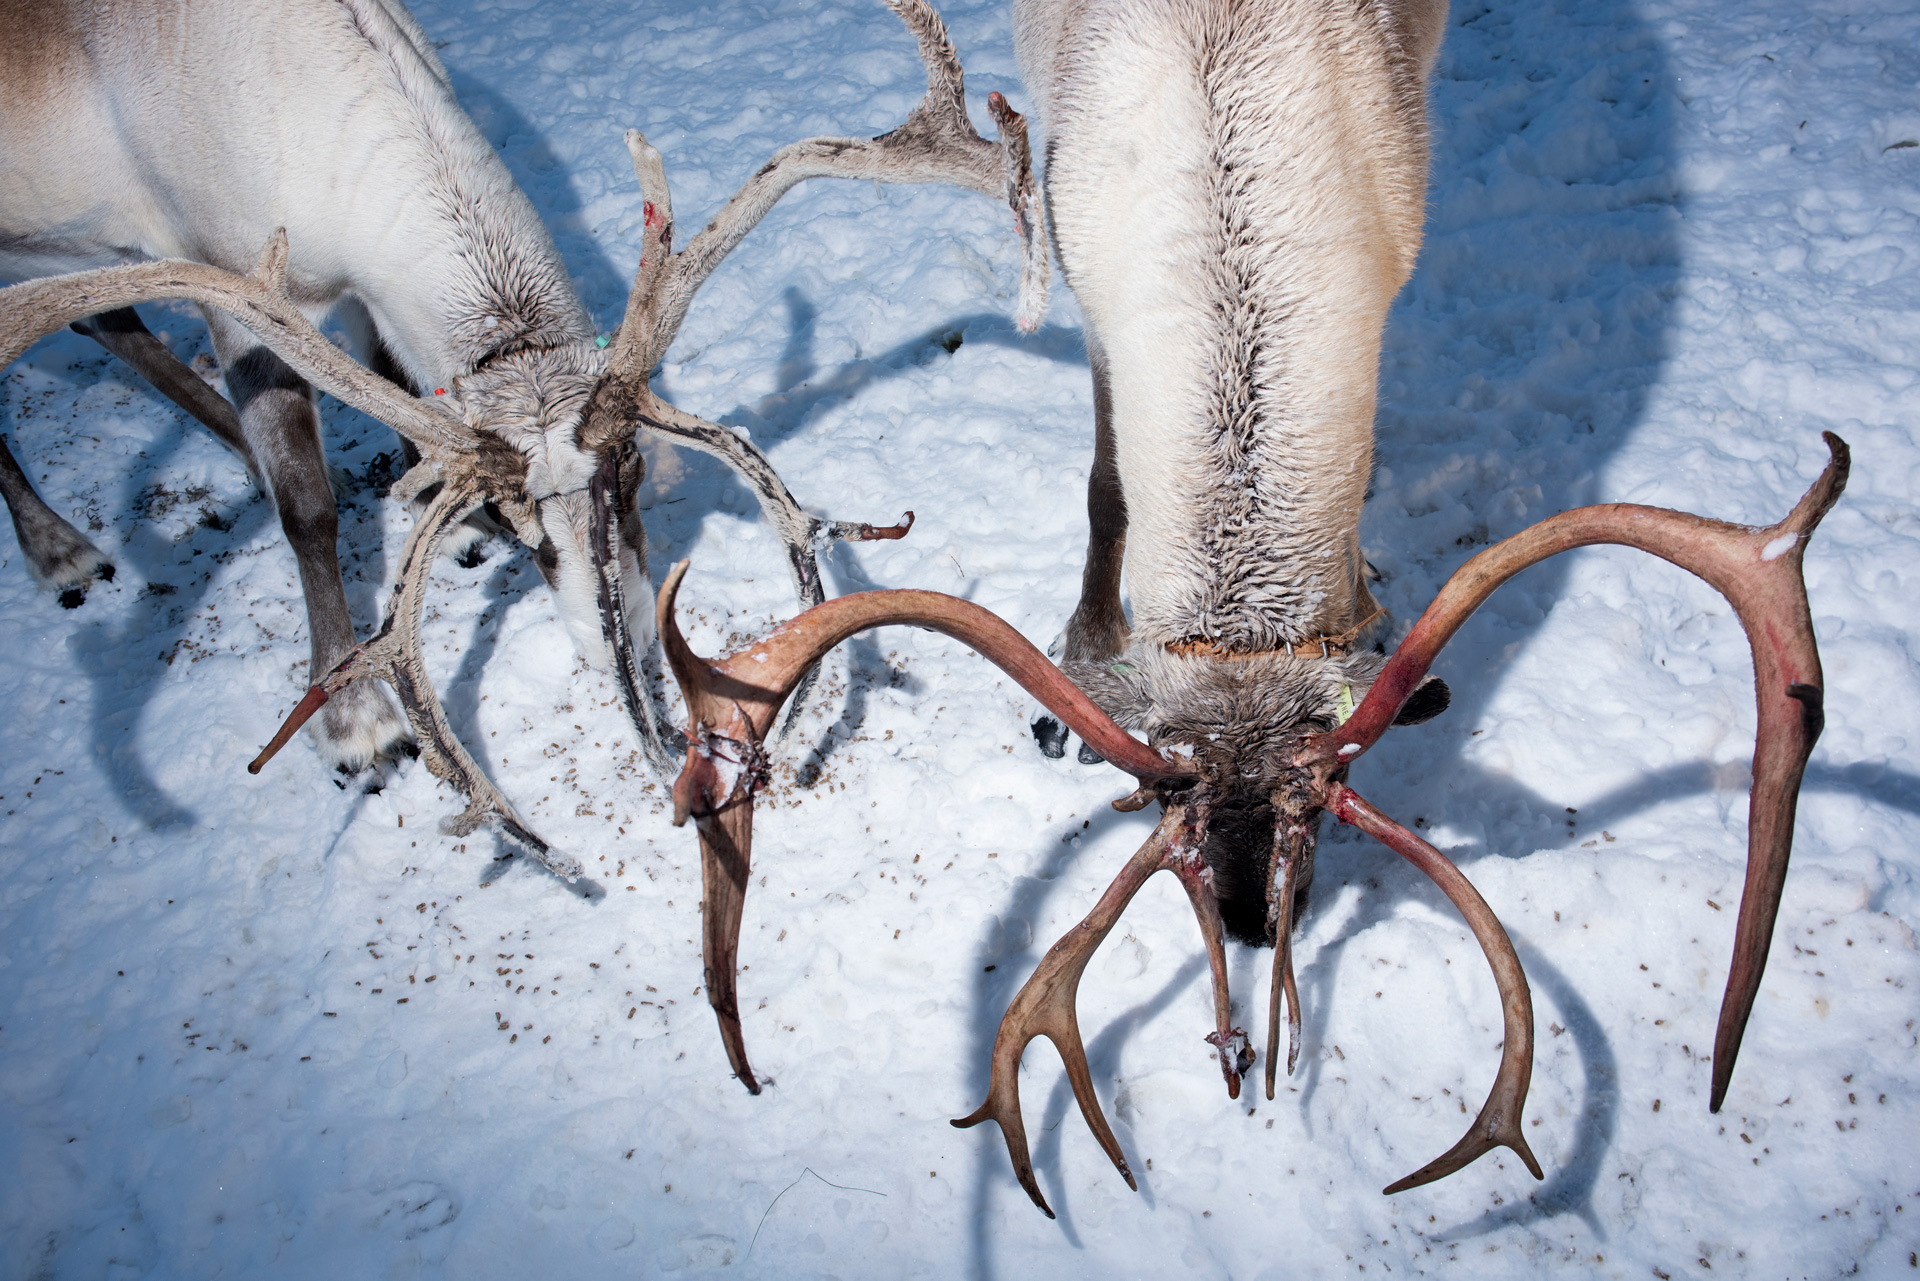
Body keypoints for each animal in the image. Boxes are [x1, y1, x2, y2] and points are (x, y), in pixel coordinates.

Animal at [0, 0, 1048, 873]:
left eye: (629, 474)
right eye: (521, 524)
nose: (629, 658)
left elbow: (394, 374)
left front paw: (437, 511)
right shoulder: (231, 284)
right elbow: (308, 504)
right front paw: (357, 723)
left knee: (108, 322)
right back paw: (63, 552)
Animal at [635, 0, 1851, 1213]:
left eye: (1329, 809)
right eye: (1154, 810)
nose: (1254, 929)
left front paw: (1363, 598)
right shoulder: (1083, 276)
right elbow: (1106, 486)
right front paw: (1088, 645)